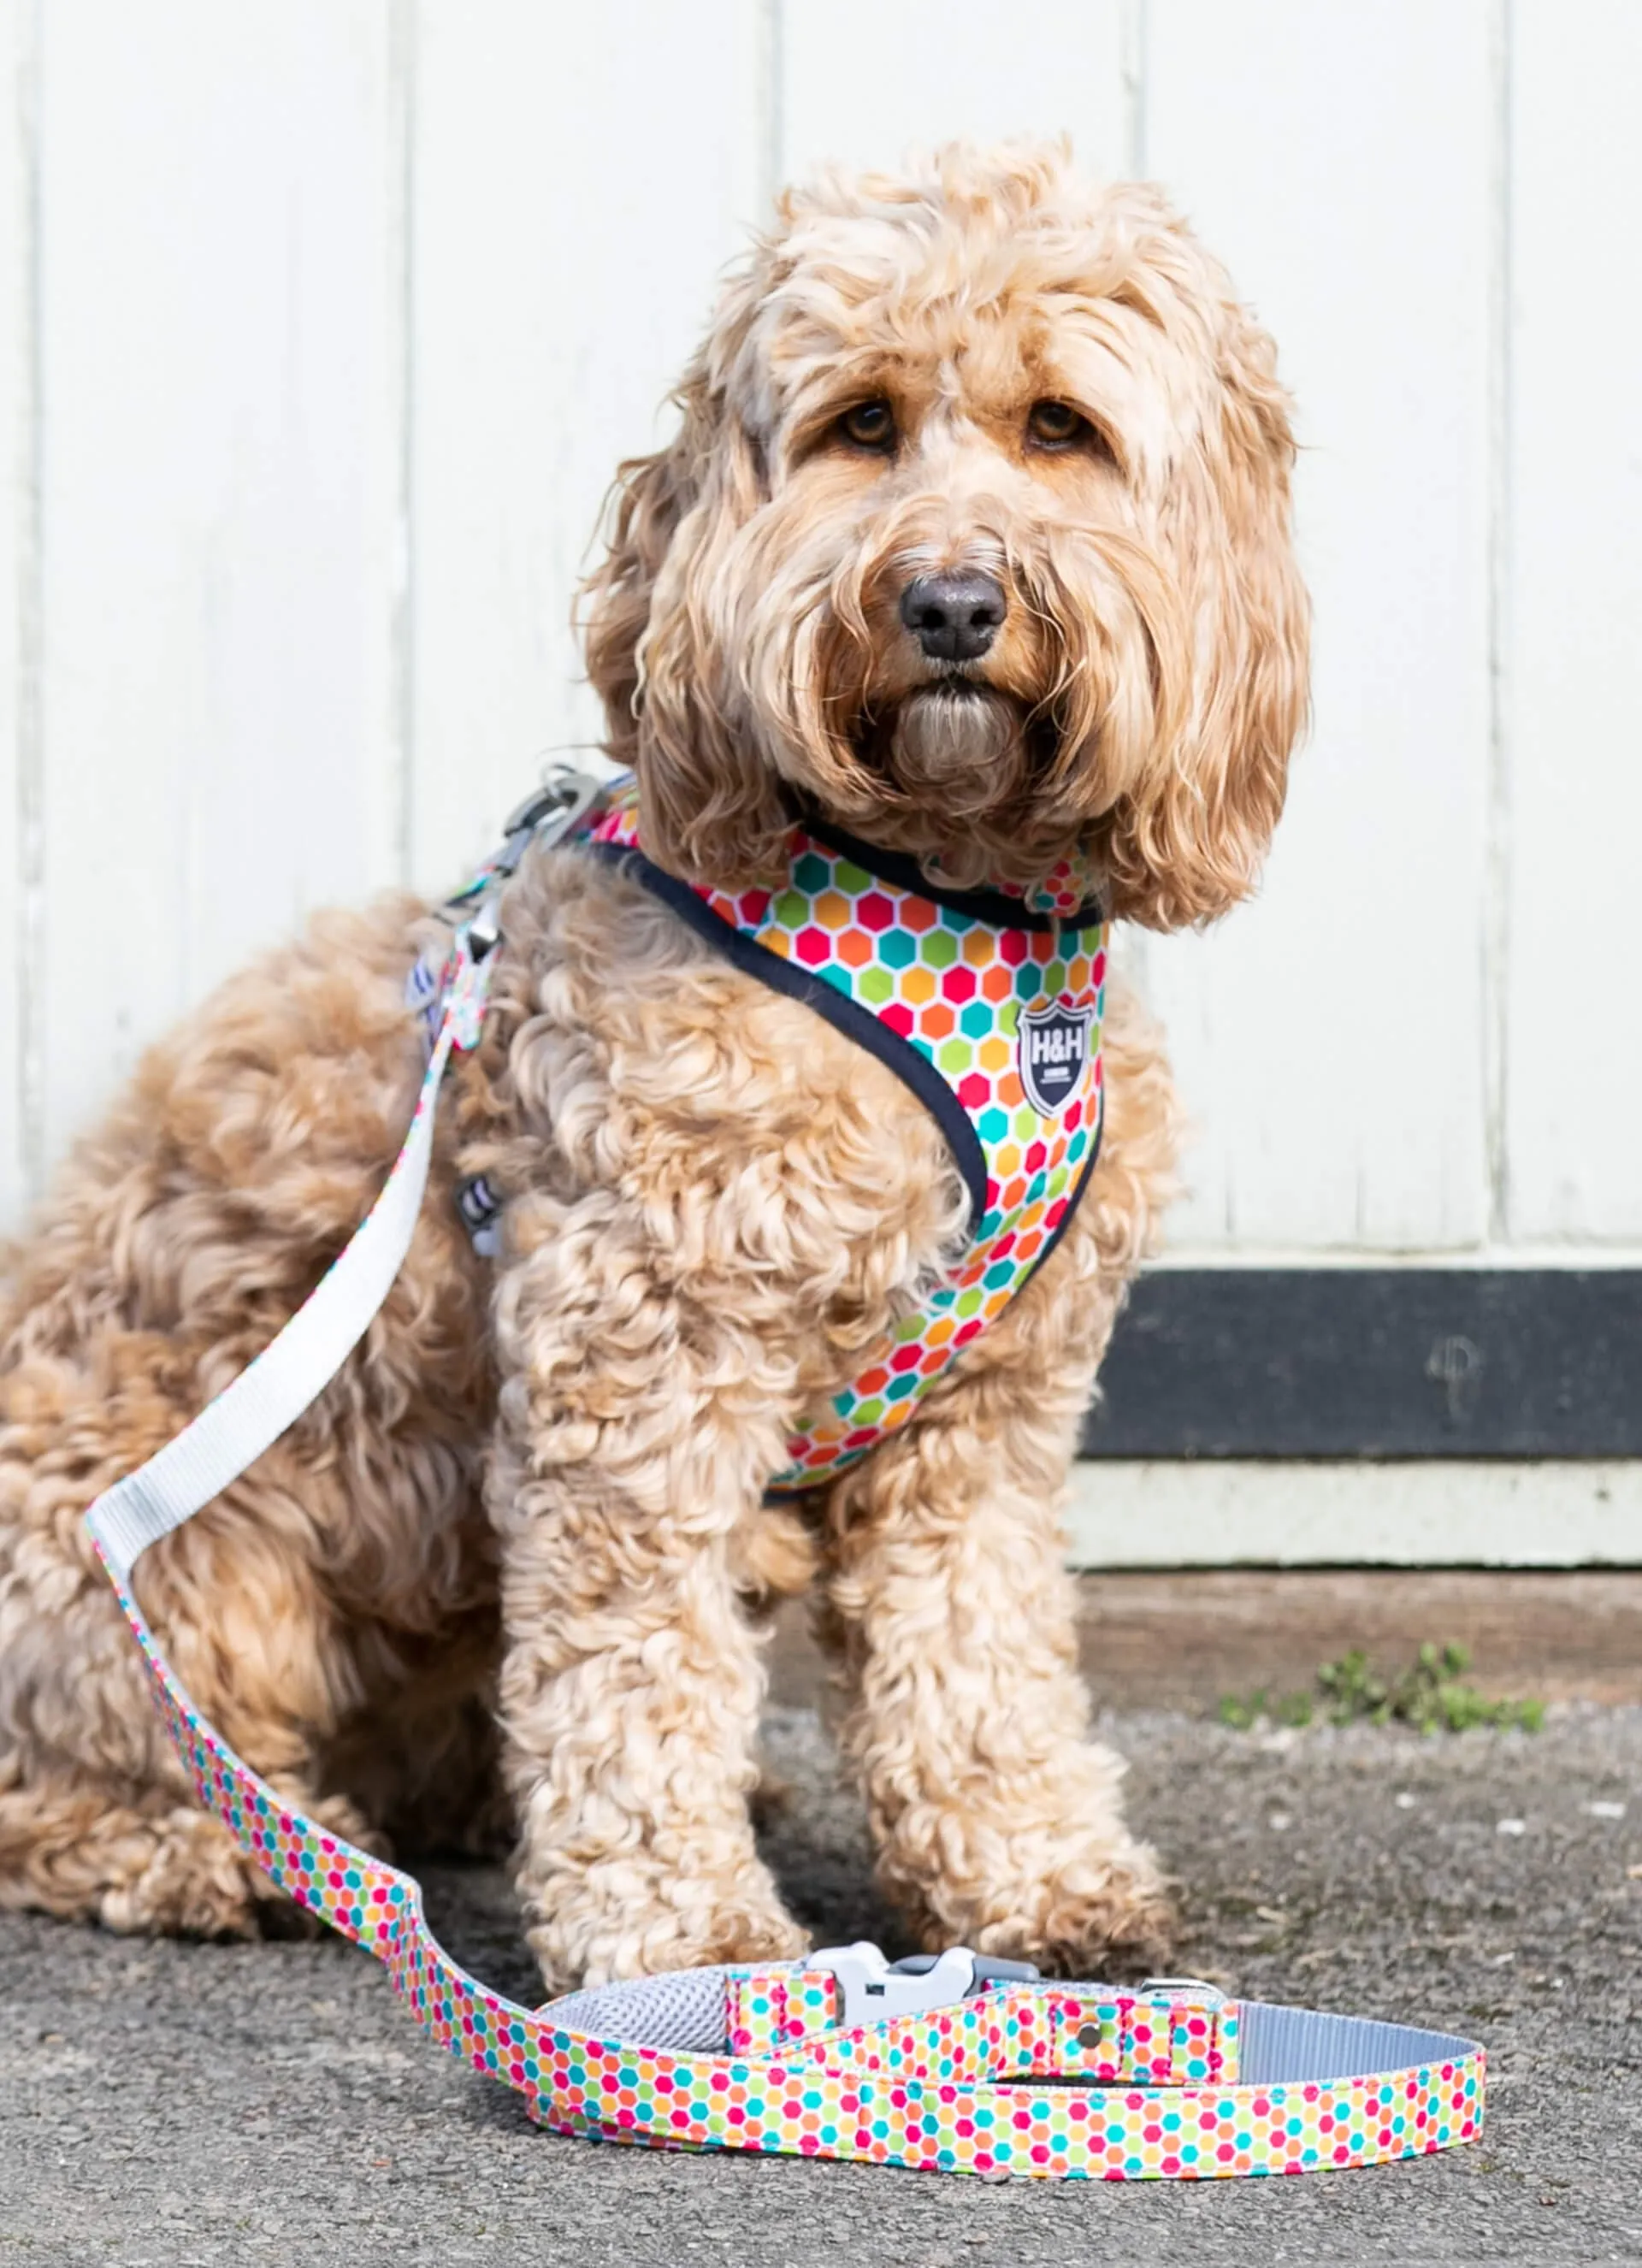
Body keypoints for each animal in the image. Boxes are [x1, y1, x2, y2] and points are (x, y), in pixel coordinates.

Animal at [0, 141, 1306, 1987]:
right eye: (859, 424)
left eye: (1062, 426)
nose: (950, 602)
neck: (946, 890)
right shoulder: (643, 1347)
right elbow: (633, 1668)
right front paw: (688, 1939)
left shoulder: (986, 1413)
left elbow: (978, 1649)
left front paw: (1031, 1874)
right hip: (165, 1560)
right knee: (79, 1783)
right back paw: (221, 1852)